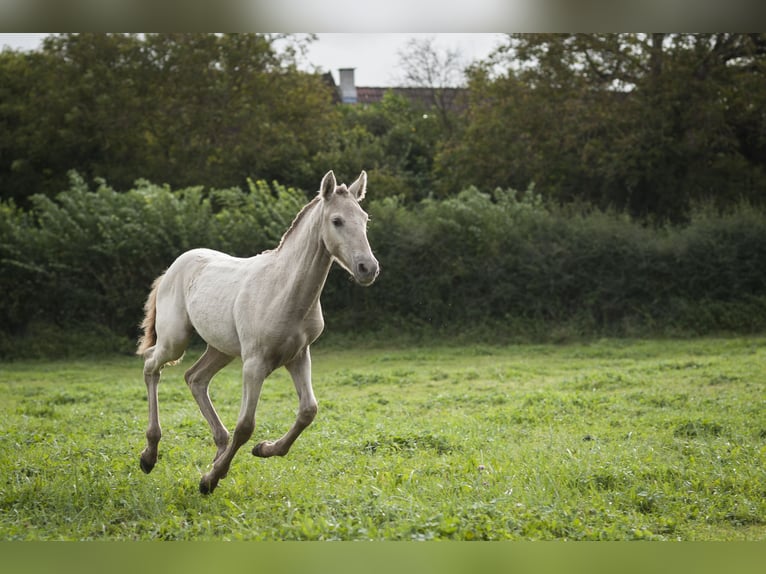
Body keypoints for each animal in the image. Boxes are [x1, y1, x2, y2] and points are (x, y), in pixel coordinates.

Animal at [137, 171, 380, 496]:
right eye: (337, 221)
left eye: (364, 219)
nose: (368, 268)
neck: (284, 291)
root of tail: (173, 268)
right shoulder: (254, 362)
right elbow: (246, 425)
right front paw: (210, 479)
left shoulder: (299, 356)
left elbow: (308, 411)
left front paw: (263, 449)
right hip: (175, 340)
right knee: (152, 365)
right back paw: (149, 455)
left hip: (221, 348)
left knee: (195, 378)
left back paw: (218, 449)